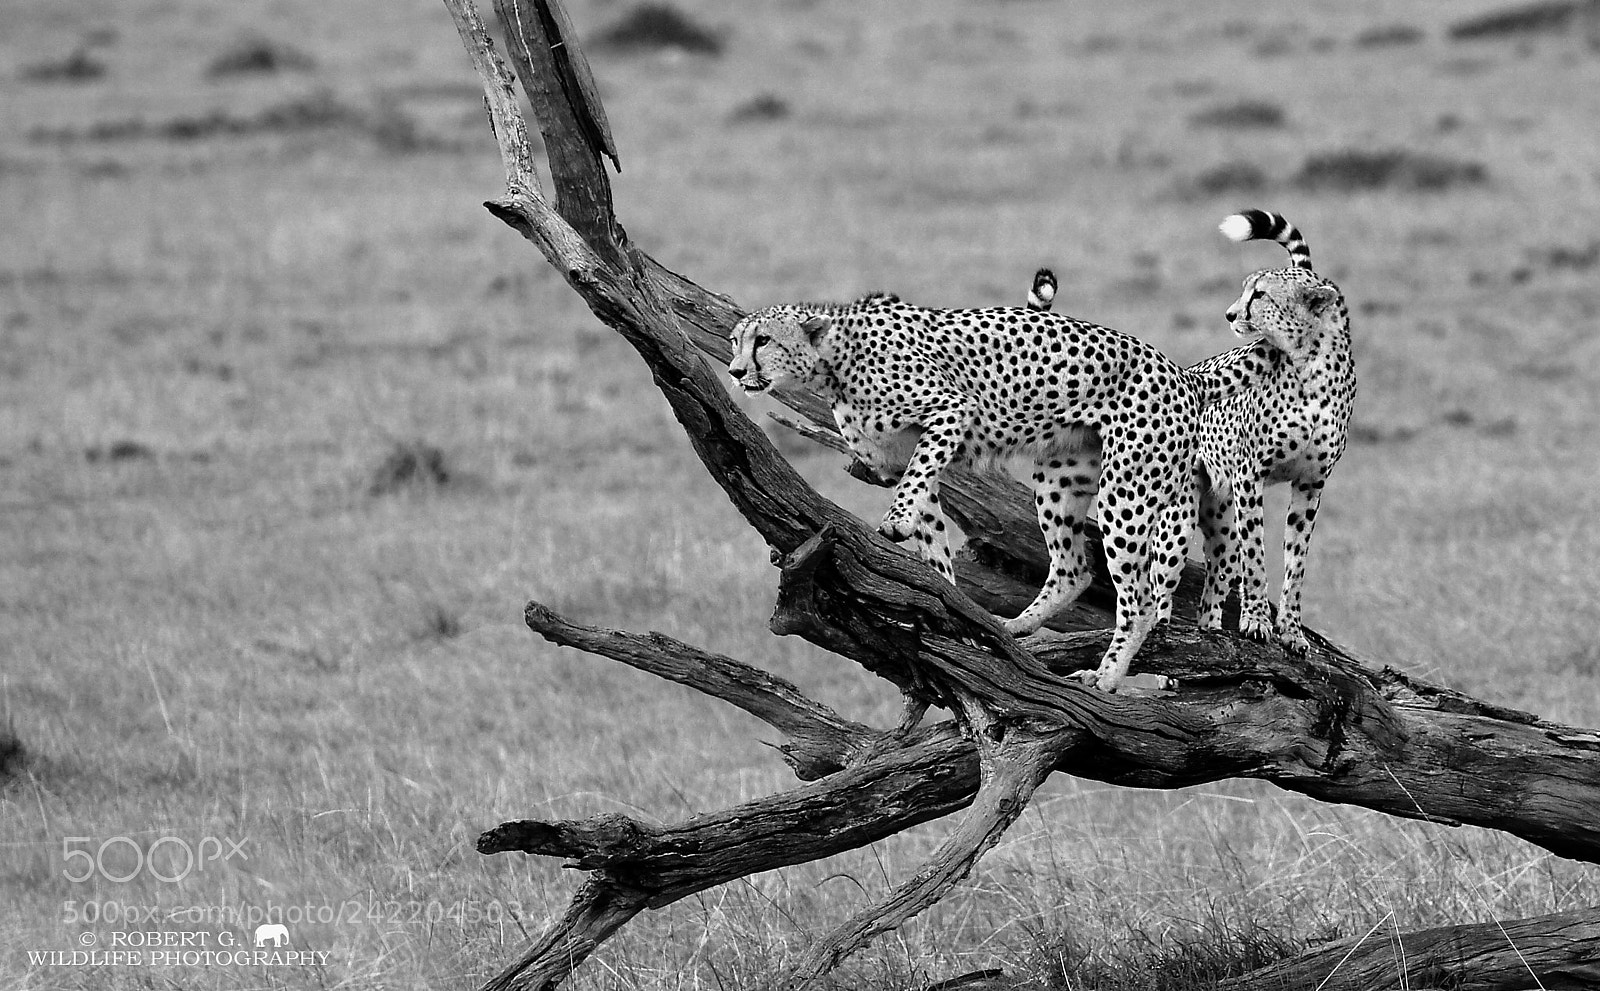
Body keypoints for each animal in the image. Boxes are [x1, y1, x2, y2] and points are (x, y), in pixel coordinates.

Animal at [728, 292, 1200, 693]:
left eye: (763, 340)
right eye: (735, 342)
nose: (733, 371)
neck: (834, 361)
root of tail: (1180, 374)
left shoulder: (951, 410)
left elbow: (913, 487)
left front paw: (895, 524)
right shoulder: (904, 457)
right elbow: (931, 530)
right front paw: (948, 608)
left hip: (1126, 489)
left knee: (1140, 599)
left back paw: (1105, 676)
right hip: (1059, 479)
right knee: (1074, 568)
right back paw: (1017, 626)